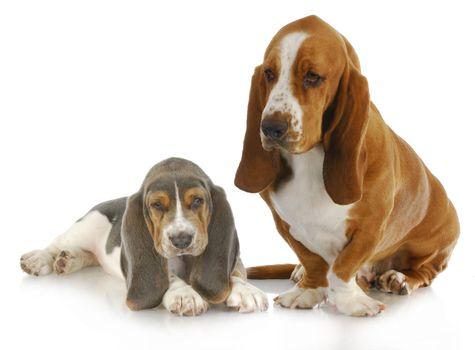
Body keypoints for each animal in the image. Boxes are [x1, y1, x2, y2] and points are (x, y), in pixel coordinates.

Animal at [20, 157, 268, 316]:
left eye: (198, 200)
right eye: (157, 205)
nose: (181, 240)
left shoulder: (236, 262)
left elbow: (235, 273)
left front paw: (246, 290)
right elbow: (169, 277)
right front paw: (184, 294)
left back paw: (68, 260)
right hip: (85, 227)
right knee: (56, 244)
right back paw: (41, 259)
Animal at [236, 15, 460, 318]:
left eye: (313, 77)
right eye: (269, 73)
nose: (270, 128)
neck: (310, 160)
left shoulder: (372, 227)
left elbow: (343, 267)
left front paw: (352, 301)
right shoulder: (284, 223)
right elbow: (314, 262)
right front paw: (308, 290)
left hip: (440, 240)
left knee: (425, 271)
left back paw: (398, 278)